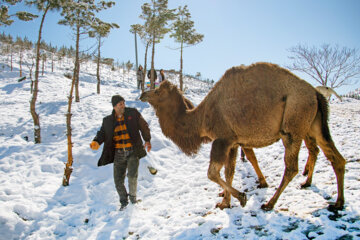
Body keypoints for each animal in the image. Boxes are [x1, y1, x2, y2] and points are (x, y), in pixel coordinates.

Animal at [141, 62, 346, 211]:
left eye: (157, 91)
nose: (143, 94)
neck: (201, 118)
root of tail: (316, 93)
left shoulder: (222, 139)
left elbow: (212, 173)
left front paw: (240, 197)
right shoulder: (233, 142)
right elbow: (228, 172)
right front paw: (225, 202)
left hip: (293, 125)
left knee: (292, 167)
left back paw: (270, 203)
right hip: (314, 125)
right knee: (335, 157)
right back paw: (338, 202)